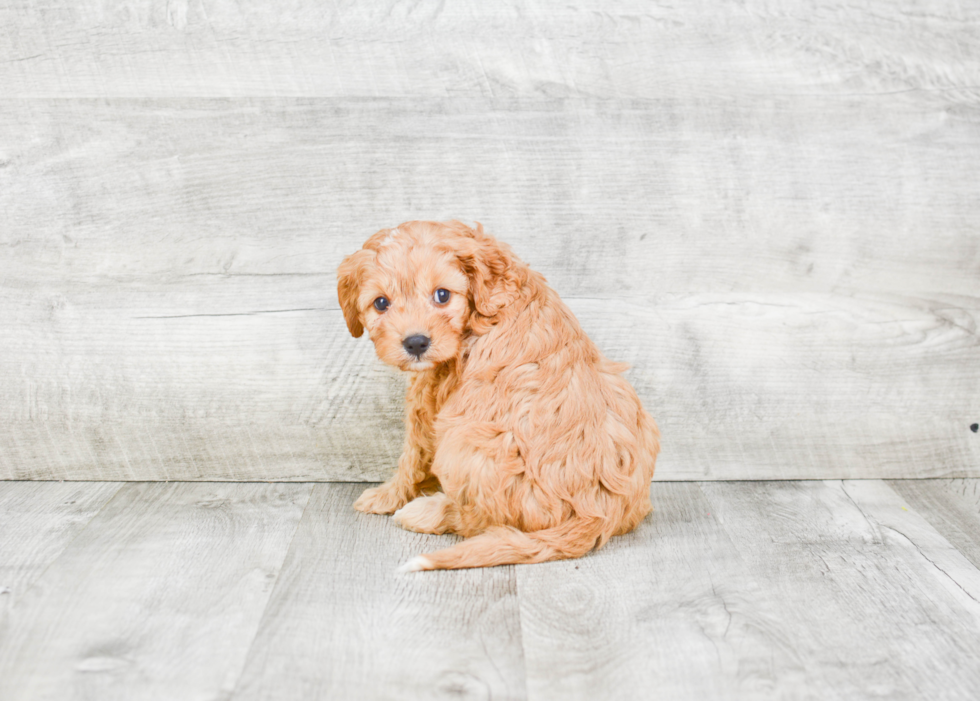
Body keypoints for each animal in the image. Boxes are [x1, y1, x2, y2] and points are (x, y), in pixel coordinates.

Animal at [336, 221, 660, 572]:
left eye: (442, 295)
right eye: (381, 303)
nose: (416, 343)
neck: (488, 303)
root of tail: (598, 516)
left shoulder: (429, 400)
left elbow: (411, 456)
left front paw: (387, 496)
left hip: (465, 443)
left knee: (481, 521)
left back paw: (427, 513)